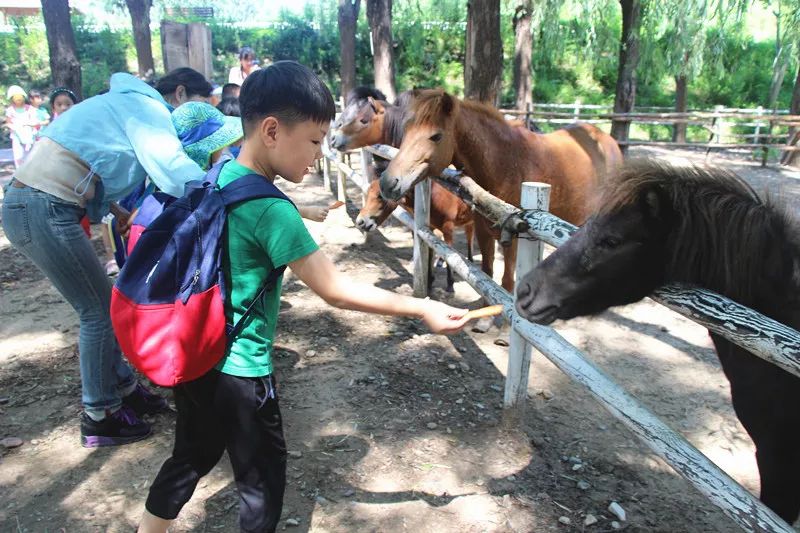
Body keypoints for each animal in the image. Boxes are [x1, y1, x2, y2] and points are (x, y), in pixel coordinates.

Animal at [382, 90, 624, 294]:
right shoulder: (483, 232)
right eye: (407, 129)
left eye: (436, 136)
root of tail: (608, 141)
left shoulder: (513, 241)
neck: (507, 163)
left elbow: (507, 281)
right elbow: (488, 275)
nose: (387, 182)